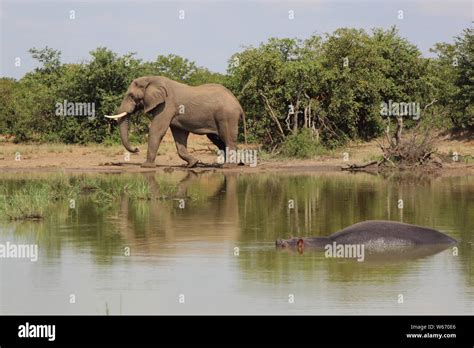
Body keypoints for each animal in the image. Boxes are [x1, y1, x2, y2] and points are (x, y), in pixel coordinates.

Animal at [105, 76, 248, 169]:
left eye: (131, 96)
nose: (136, 148)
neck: (152, 79)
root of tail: (239, 104)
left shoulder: (167, 105)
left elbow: (157, 130)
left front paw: (146, 166)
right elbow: (179, 135)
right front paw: (193, 164)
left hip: (227, 116)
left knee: (227, 138)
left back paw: (228, 166)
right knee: (218, 140)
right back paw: (235, 163)